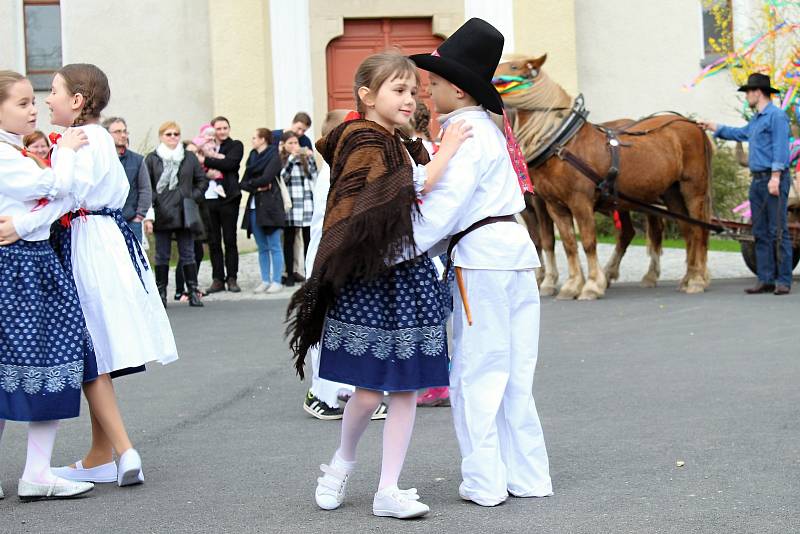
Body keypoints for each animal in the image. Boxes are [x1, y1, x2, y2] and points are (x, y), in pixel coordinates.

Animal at [500, 56, 712, 304]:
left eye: (514, 67)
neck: (561, 144)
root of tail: (692, 124)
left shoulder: (577, 202)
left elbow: (585, 242)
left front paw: (590, 285)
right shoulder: (554, 206)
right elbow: (567, 244)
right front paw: (571, 285)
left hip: (692, 190)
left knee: (697, 230)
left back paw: (695, 280)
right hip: (670, 193)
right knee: (685, 230)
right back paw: (687, 277)